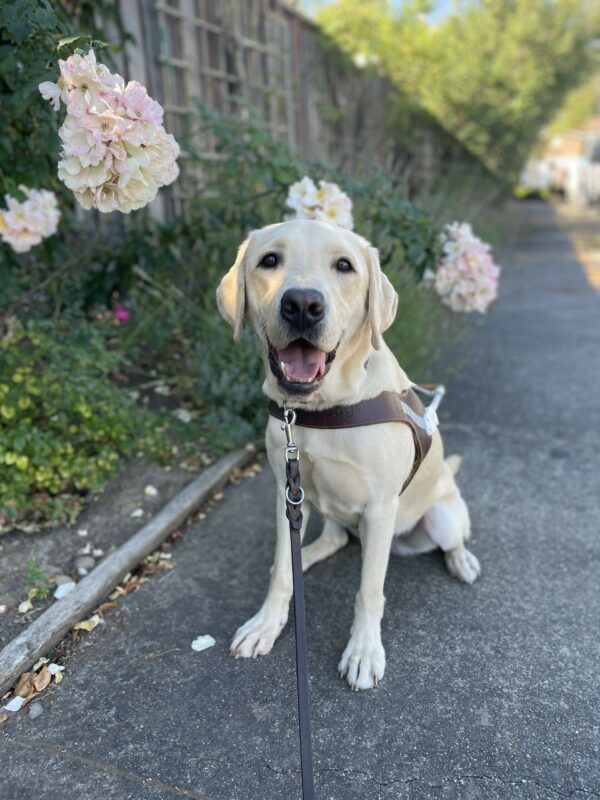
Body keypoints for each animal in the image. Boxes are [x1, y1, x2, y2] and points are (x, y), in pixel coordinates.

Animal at [216, 217, 478, 688]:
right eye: (269, 260)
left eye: (344, 266)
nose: (302, 304)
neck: (321, 410)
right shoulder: (286, 493)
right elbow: (280, 571)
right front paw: (266, 624)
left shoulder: (380, 508)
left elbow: (369, 591)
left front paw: (363, 652)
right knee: (332, 539)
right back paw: (308, 557)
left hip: (441, 516)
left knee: (451, 540)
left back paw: (462, 560)